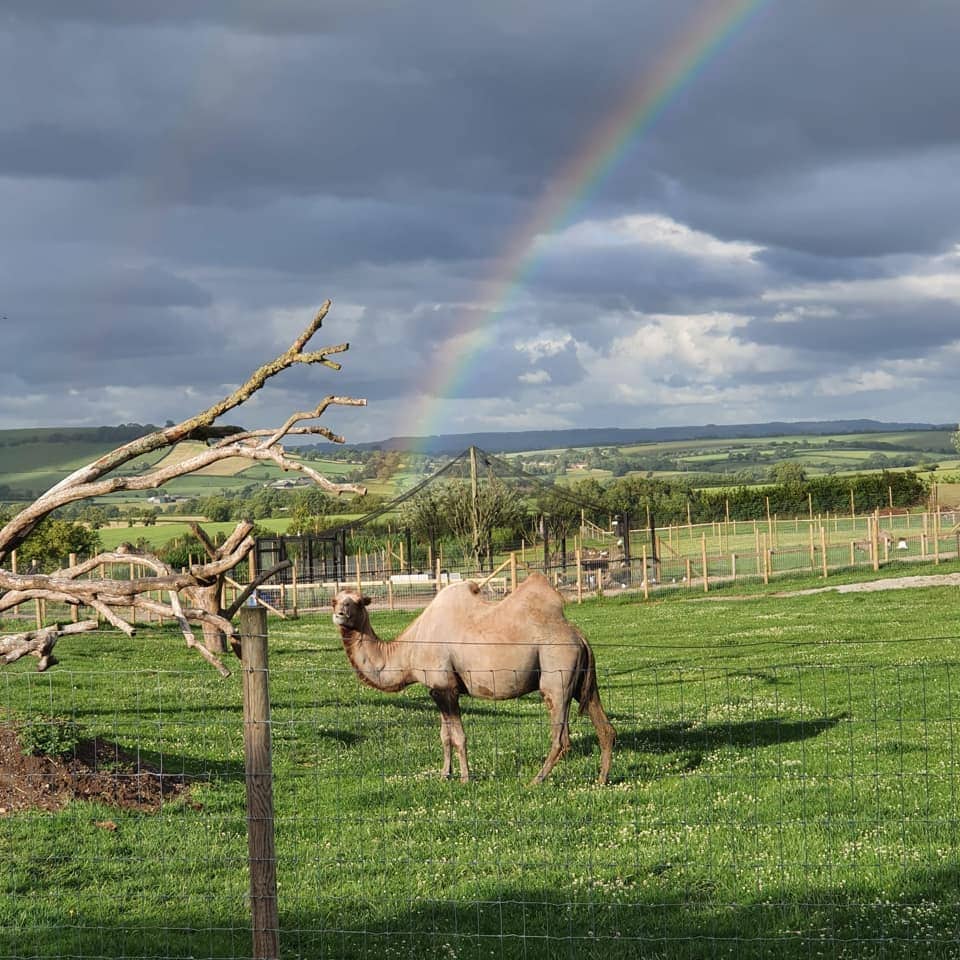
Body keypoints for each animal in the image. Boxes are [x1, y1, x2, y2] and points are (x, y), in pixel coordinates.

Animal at [330, 572, 616, 784]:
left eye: (357, 601)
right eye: (335, 600)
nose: (339, 614)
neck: (410, 649)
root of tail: (578, 635)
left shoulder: (446, 687)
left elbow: (458, 737)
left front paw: (465, 779)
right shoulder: (436, 689)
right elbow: (444, 736)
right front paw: (444, 776)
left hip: (556, 675)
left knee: (561, 737)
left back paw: (535, 780)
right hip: (582, 681)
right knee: (605, 726)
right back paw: (601, 780)